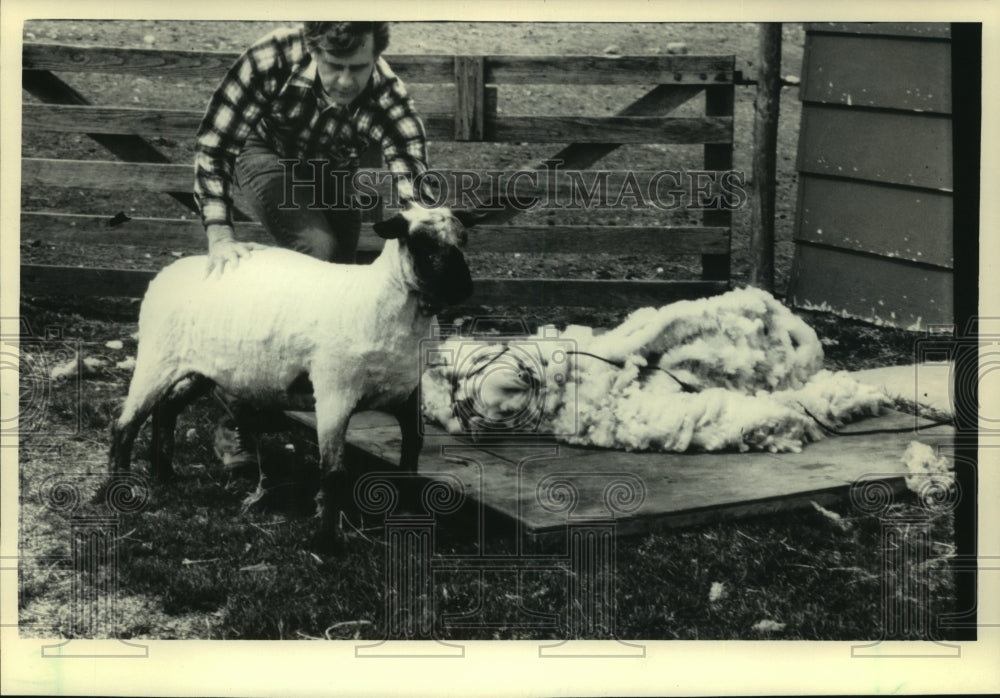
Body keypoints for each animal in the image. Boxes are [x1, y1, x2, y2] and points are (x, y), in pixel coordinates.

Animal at [109, 204, 476, 552]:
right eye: (420, 243)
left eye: (463, 239)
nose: (464, 289)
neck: (386, 302)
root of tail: (167, 272)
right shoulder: (334, 392)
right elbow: (334, 473)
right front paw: (326, 543)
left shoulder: (408, 393)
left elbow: (411, 455)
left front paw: (409, 511)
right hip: (157, 356)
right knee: (125, 424)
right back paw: (118, 493)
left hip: (201, 368)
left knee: (166, 408)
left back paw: (164, 474)